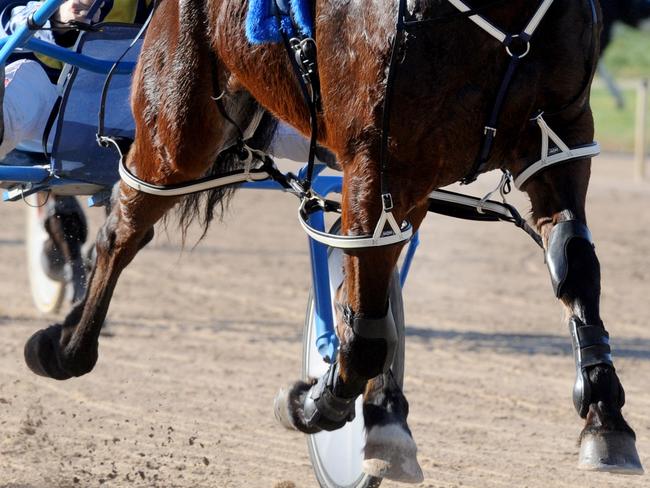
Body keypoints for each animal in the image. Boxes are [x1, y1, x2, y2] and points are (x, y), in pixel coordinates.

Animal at [22, 0, 640, 480]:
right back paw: (66, 346)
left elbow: (576, 268)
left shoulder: (556, 140)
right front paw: (316, 402)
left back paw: (387, 410)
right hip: (180, 127)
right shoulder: (376, 155)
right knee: (123, 229)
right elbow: (362, 332)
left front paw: (605, 417)